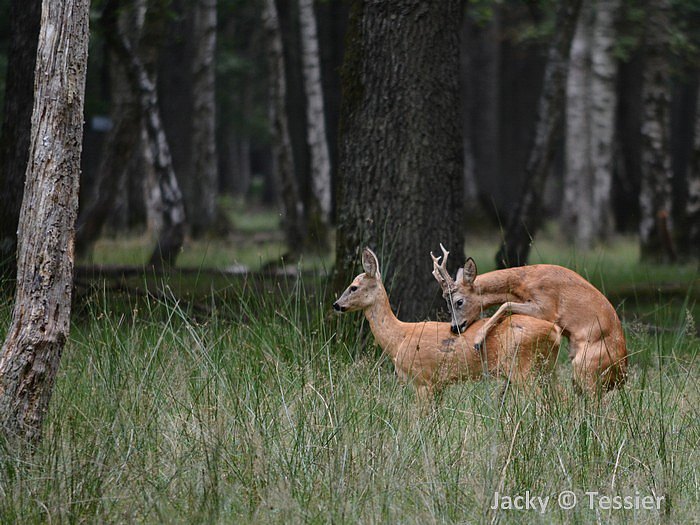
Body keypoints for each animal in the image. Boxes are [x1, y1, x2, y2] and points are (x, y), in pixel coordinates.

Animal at [334, 247, 564, 406]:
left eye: (353, 287)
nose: (336, 305)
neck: (398, 337)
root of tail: (553, 331)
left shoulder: (422, 380)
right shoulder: (438, 385)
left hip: (521, 365)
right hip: (547, 366)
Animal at [432, 246, 628, 392]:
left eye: (459, 301)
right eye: (446, 302)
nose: (455, 327)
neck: (524, 283)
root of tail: (622, 375)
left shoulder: (547, 307)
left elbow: (506, 305)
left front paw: (479, 339)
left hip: (587, 367)